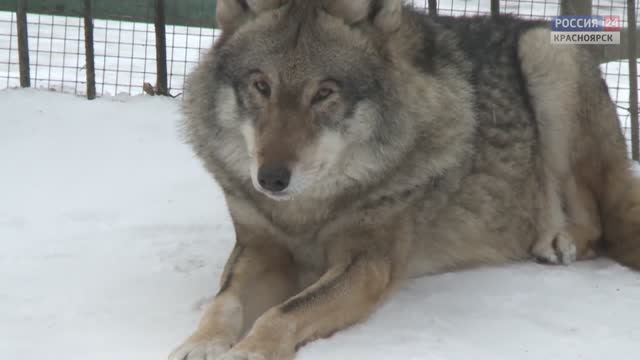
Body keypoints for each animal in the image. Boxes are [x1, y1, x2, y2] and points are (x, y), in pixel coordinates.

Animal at [169, 1, 640, 358]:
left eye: (324, 93)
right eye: (261, 86)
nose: (270, 179)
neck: (308, 211)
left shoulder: (367, 263)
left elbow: (283, 312)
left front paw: (248, 351)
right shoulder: (260, 248)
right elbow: (224, 302)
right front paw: (200, 344)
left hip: (546, 56)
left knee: (598, 221)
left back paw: (559, 240)